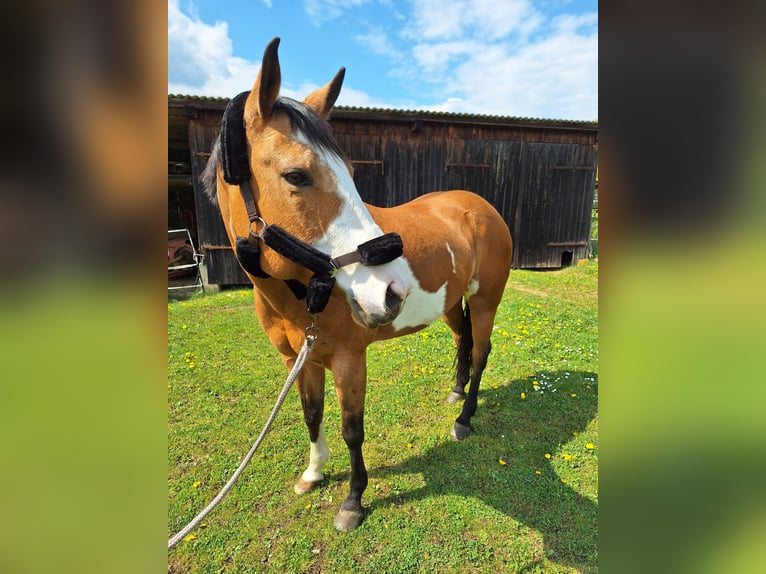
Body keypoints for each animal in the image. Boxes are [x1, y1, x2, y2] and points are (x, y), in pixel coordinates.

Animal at [201, 37, 513, 532]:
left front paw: (353, 501)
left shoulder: (350, 360)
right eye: (297, 175)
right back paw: (456, 392)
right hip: (451, 305)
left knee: (481, 351)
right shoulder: (299, 360)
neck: (300, 294)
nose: (390, 291)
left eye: (350, 170)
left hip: (486, 301)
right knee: (462, 342)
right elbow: (311, 415)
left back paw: (465, 419)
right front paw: (313, 473)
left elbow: (352, 429)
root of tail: (480, 206)